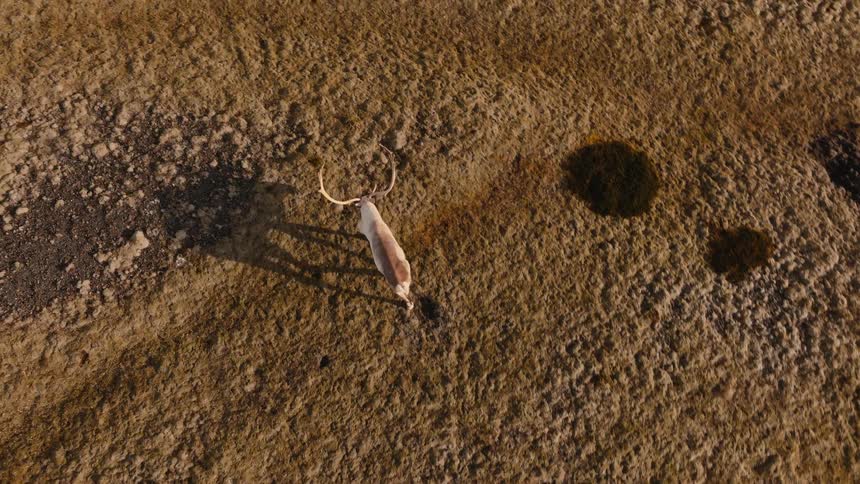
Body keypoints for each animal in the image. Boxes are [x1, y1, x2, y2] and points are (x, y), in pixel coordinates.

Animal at [318, 146, 413, 310]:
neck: (374, 219)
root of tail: (401, 284)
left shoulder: (360, 227)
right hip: (409, 273)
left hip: (394, 288)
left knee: (408, 301)